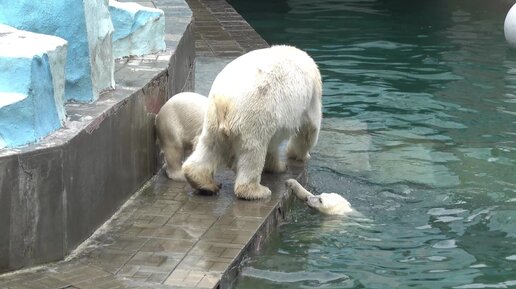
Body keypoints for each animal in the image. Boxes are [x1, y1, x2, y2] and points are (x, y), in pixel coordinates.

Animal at [182, 45, 322, 199]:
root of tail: (223, 101)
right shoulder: (312, 94)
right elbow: (309, 128)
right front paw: (297, 157)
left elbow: (273, 145)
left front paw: (278, 165)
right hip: (254, 114)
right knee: (253, 152)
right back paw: (257, 190)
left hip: (212, 119)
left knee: (209, 146)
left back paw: (203, 183)